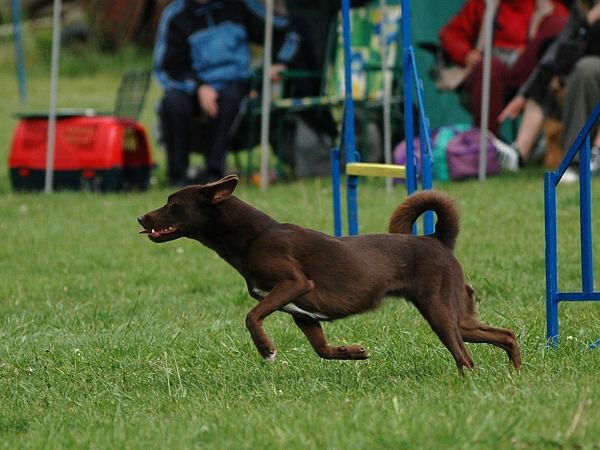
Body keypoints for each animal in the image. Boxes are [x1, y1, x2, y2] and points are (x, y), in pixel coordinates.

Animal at [137, 175, 520, 372]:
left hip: (438, 312)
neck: (252, 236)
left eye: (172, 204)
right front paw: (353, 352)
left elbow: (252, 316)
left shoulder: (293, 284)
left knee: (465, 357)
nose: (140, 217)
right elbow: (322, 349)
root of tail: (437, 239)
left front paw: (266, 350)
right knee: (504, 334)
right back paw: (515, 373)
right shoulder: (303, 314)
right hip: (458, 316)